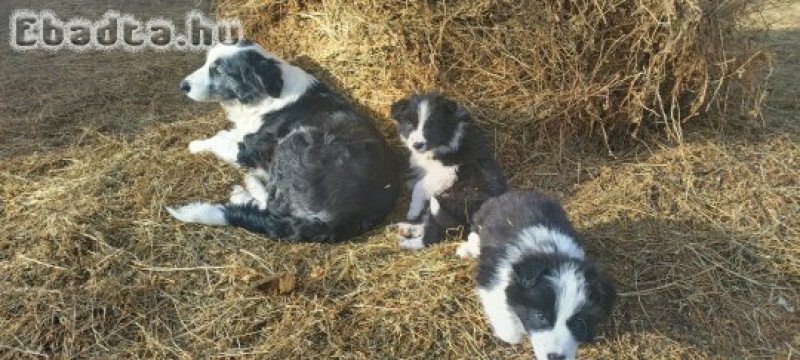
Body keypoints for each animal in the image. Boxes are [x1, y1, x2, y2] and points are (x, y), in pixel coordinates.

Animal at [166, 40, 400, 242]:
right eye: (207, 62)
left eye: (217, 70)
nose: (182, 85)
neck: (264, 95)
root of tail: (346, 219)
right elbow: (225, 134)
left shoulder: (247, 149)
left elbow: (217, 140)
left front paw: (194, 145)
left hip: (294, 142)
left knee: (272, 209)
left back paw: (244, 192)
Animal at [388, 93, 506, 249]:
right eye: (410, 125)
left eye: (431, 126)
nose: (417, 145)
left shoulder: (447, 172)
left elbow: (419, 186)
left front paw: (413, 211)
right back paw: (406, 228)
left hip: (450, 202)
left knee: (432, 236)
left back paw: (406, 242)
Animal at [456, 191, 620, 360]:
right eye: (540, 316)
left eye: (579, 322)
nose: (555, 357)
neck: (550, 253)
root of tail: (516, 193)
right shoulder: (491, 281)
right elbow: (510, 332)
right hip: (481, 217)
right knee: (474, 234)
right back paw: (467, 250)